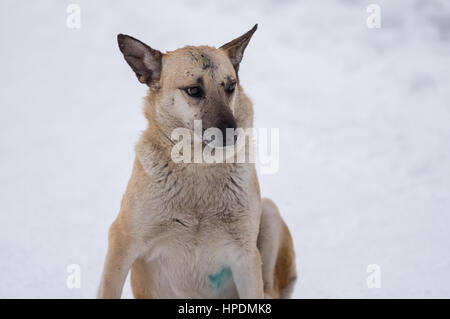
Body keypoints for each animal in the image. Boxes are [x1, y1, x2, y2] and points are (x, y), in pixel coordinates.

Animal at [96, 25, 298, 300]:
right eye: (193, 90)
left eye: (230, 86)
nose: (233, 134)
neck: (199, 165)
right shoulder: (122, 240)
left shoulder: (245, 257)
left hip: (268, 212)